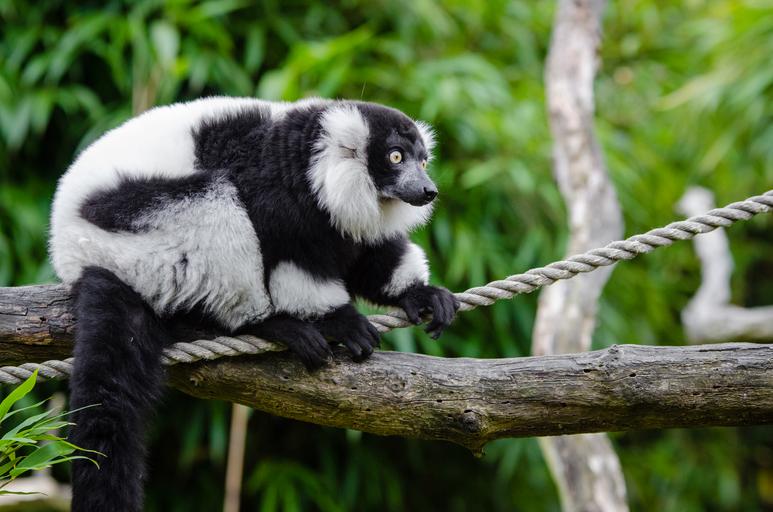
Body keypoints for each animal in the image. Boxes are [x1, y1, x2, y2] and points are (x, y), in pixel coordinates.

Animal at [49, 97, 459, 511]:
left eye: (423, 161)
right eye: (396, 156)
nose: (428, 190)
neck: (304, 161)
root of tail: (82, 255)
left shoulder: (335, 216)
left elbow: (371, 251)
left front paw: (418, 293)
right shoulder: (276, 196)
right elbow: (292, 256)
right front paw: (338, 321)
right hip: (132, 225)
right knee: (213, 200)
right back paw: (268, 323)